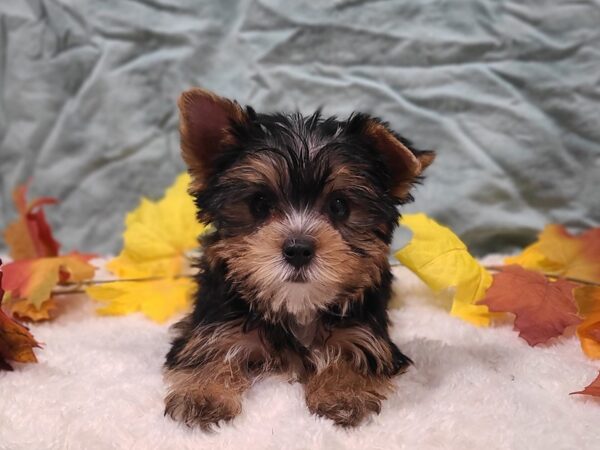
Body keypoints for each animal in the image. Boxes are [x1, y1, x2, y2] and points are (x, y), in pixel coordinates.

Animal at [164, 87, 436, 428]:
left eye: (339, 206)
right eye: (259, 203)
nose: (298, 249)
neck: (297, 307)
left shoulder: (365, 333)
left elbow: (351, 353)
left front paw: (342, 393)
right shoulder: (215, 323)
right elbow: (209, 350)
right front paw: (203, 394)